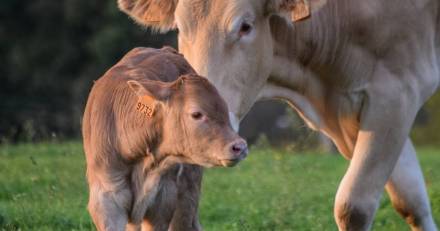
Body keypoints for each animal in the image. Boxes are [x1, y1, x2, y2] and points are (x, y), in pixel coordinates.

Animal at [81, 46, 248, 230]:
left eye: (224, 109)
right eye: (196, 114)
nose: (240, 147)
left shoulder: (164, 200)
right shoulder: (106, 200)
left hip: (188, 190)